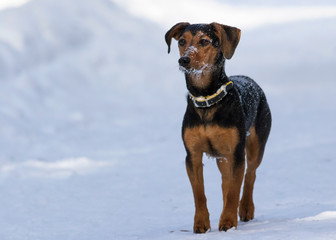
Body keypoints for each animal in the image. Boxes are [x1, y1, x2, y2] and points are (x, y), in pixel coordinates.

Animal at [164, 22, 272, 232]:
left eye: (204, 41)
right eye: (181, 42)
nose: (184, 60)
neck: (207, 100)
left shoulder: (236, 153)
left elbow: (234, 191)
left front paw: (228, 222)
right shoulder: (192, 155)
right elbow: (199, 193)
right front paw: (201, 224)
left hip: (255, 144)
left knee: (250, 175)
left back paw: (245, 208)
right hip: (223, 157)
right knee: (227, 183)